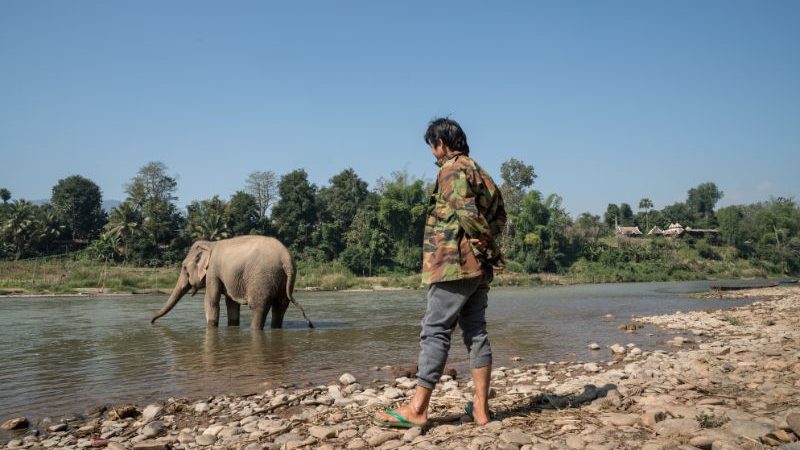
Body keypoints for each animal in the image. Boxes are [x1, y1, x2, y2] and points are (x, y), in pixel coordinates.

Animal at [152, 236, 314, 330]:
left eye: (184, 267)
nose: (152, 321)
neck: (210, 244)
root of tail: (286, 257)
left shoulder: (213, 272)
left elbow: (211, 301)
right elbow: (231, 304)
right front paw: (233, 325)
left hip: (262, 278)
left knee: (258, 307)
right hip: (283, 280)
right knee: (280, 307)